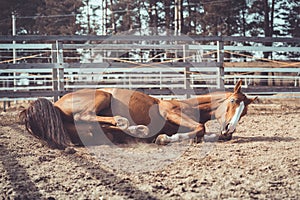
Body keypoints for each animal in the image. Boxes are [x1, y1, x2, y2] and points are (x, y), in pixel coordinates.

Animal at [20, 79, 255, 148]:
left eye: (244, 113)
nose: (229, 130)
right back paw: (127, 123)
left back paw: (135, 130)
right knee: (84, 116)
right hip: (101, 96)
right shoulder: (168, 112)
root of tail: (57, 104)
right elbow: (200, 127)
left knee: (104, 128)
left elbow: (205, 132)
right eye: (233, 101)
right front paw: (164, 138)